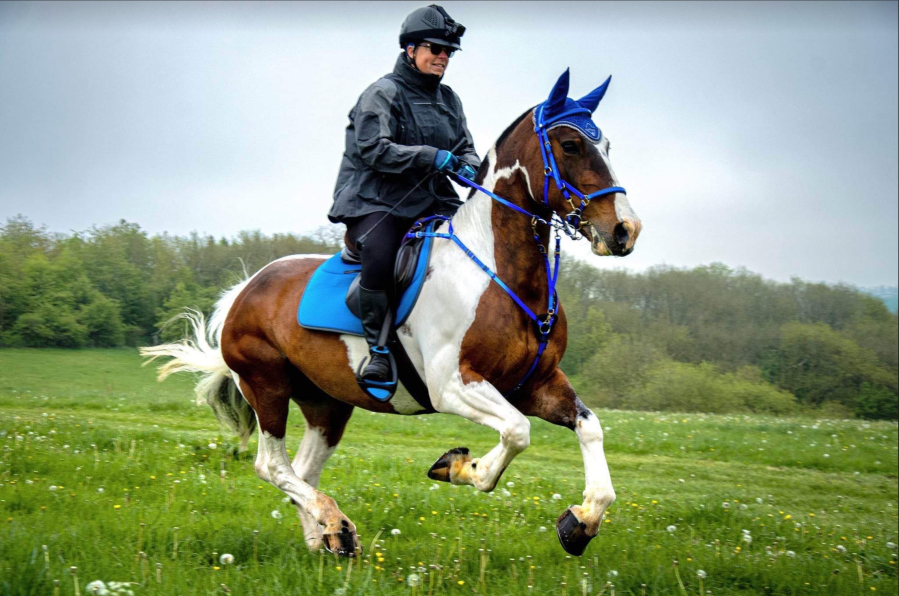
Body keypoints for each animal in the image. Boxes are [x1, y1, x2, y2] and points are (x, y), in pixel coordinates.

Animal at [142, 75, 640, 560]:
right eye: (570, 145)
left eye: (607, 145)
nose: (625, 231)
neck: (502, 274)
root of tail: (243, 291)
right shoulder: (451, 384)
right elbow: (517, 433)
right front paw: (461, 467)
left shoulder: (536, 383)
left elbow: (589, 428)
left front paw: (581, 521)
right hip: (266, 385)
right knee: (272, 465)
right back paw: (336, 524)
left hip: (327, 403)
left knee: (302, 470)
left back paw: (326, 538)